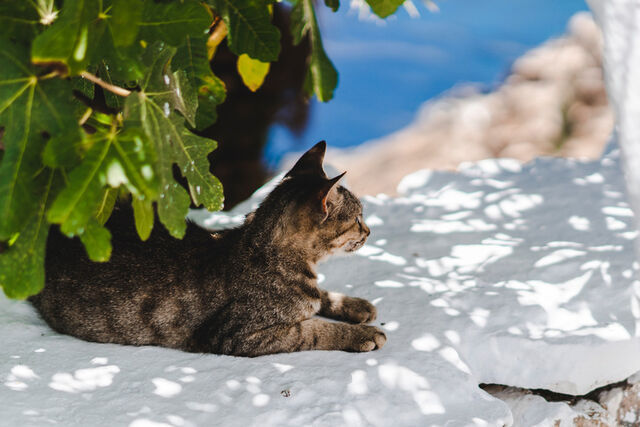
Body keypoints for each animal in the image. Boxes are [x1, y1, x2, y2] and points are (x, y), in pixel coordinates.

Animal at [30, 142, 384, 356]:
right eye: (357, 218)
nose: (368, 231)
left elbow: (320, 297)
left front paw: (354, 305)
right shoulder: (237, 335)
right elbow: (311, 329)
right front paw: (361, 334)